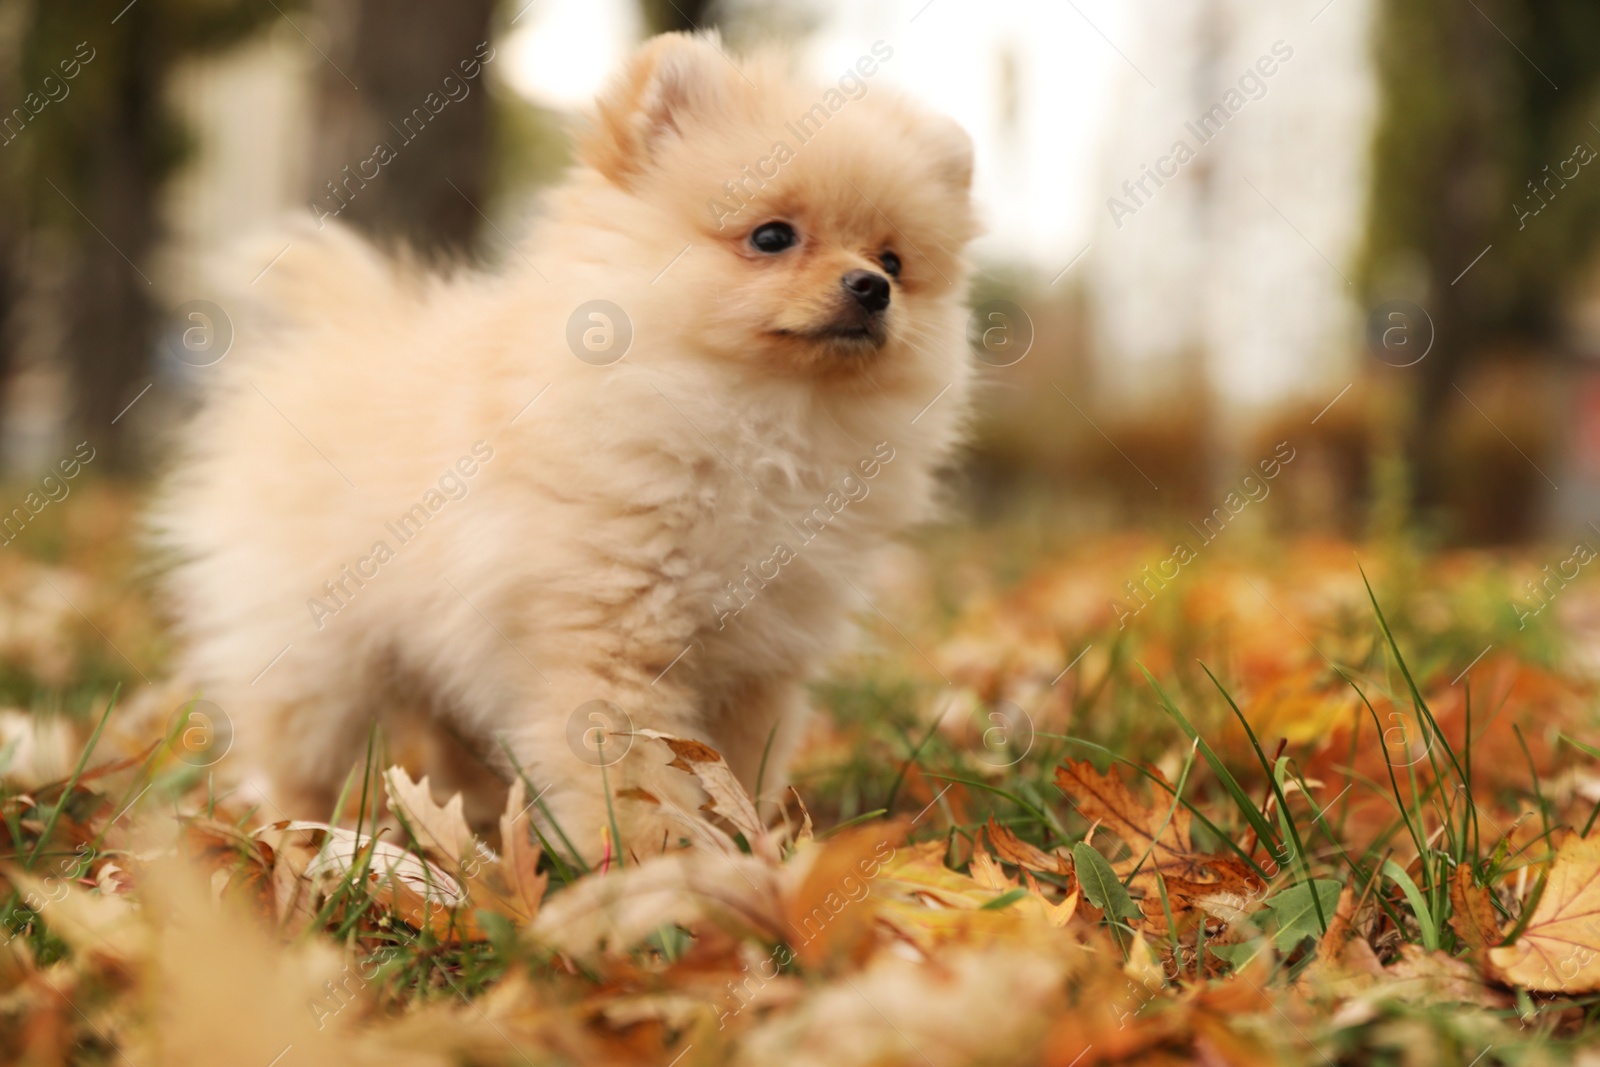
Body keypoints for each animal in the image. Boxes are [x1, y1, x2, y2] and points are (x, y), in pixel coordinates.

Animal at [150, 31, 972, 857]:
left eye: (895, 261)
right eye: (772, 237)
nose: (871, 287)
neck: (763, 422)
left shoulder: (762, 662)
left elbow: (739, 770)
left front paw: (744, 847)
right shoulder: (604, 637)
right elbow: (633, 766)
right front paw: (647, 859)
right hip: (317, 652)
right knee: (300, 752)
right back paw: (298, 838)